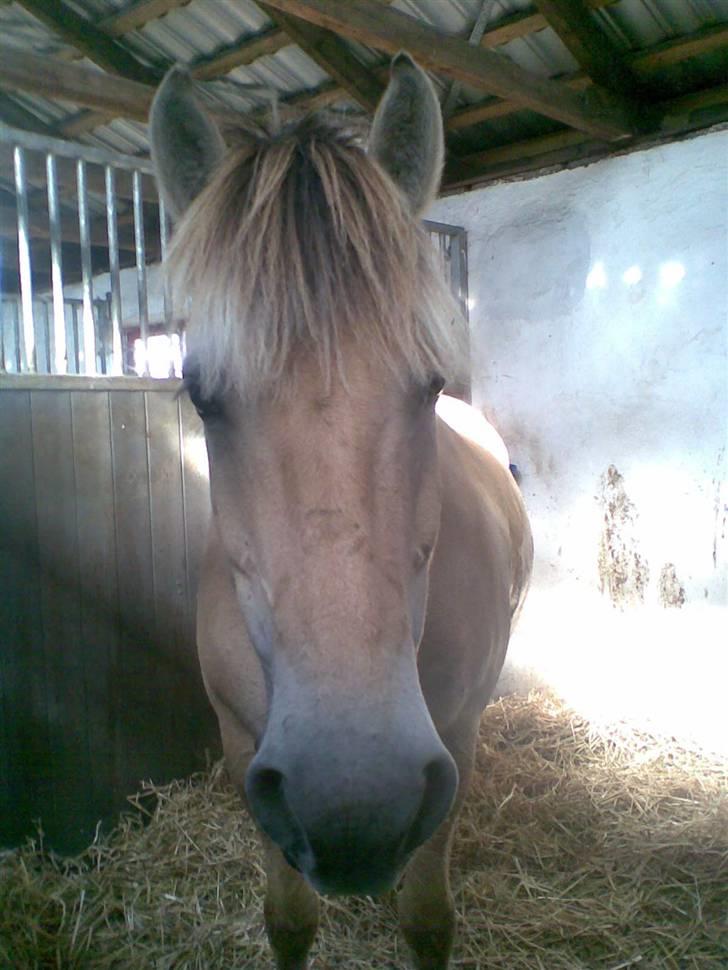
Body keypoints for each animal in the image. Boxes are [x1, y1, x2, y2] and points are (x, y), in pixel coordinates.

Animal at [151, 54, 532, 968]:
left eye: (429, 381)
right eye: (199, 393)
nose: (356, 799)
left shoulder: (453, 739)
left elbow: (426, 918)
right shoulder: (247, 753)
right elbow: (288, 919)